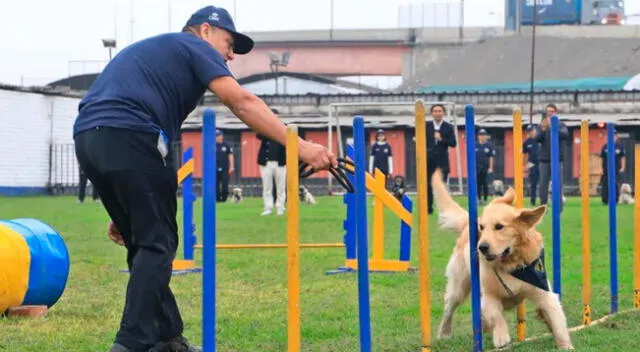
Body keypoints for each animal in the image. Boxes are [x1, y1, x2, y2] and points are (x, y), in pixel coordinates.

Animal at [432, 168, 572, 350]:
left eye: (499, 227)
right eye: (482, 228)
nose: (481, 247)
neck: (511, 264)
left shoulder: (543, 291)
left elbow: (556, 319)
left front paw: (566, 345)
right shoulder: (488, 295)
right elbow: (495, 314)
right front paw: (501, 337)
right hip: (459, 287)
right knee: (449, 308)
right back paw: (444, 333)